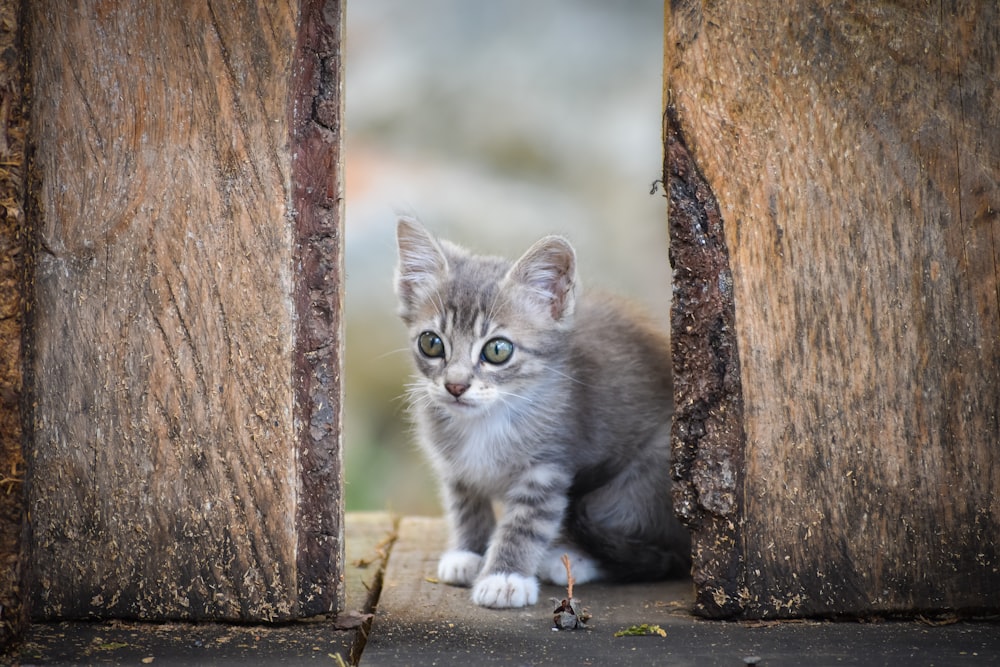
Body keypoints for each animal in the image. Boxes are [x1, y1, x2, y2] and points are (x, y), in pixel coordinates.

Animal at [394, 219, 692, 612]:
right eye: (431, 343)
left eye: (497, 350)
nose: (455, 386)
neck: (487, 419)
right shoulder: (455, 466)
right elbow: (464, 503)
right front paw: (468, 553)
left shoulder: (548, 465)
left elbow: (527, 522)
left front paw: (504, 578)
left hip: (639, 481)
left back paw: (573, 560)